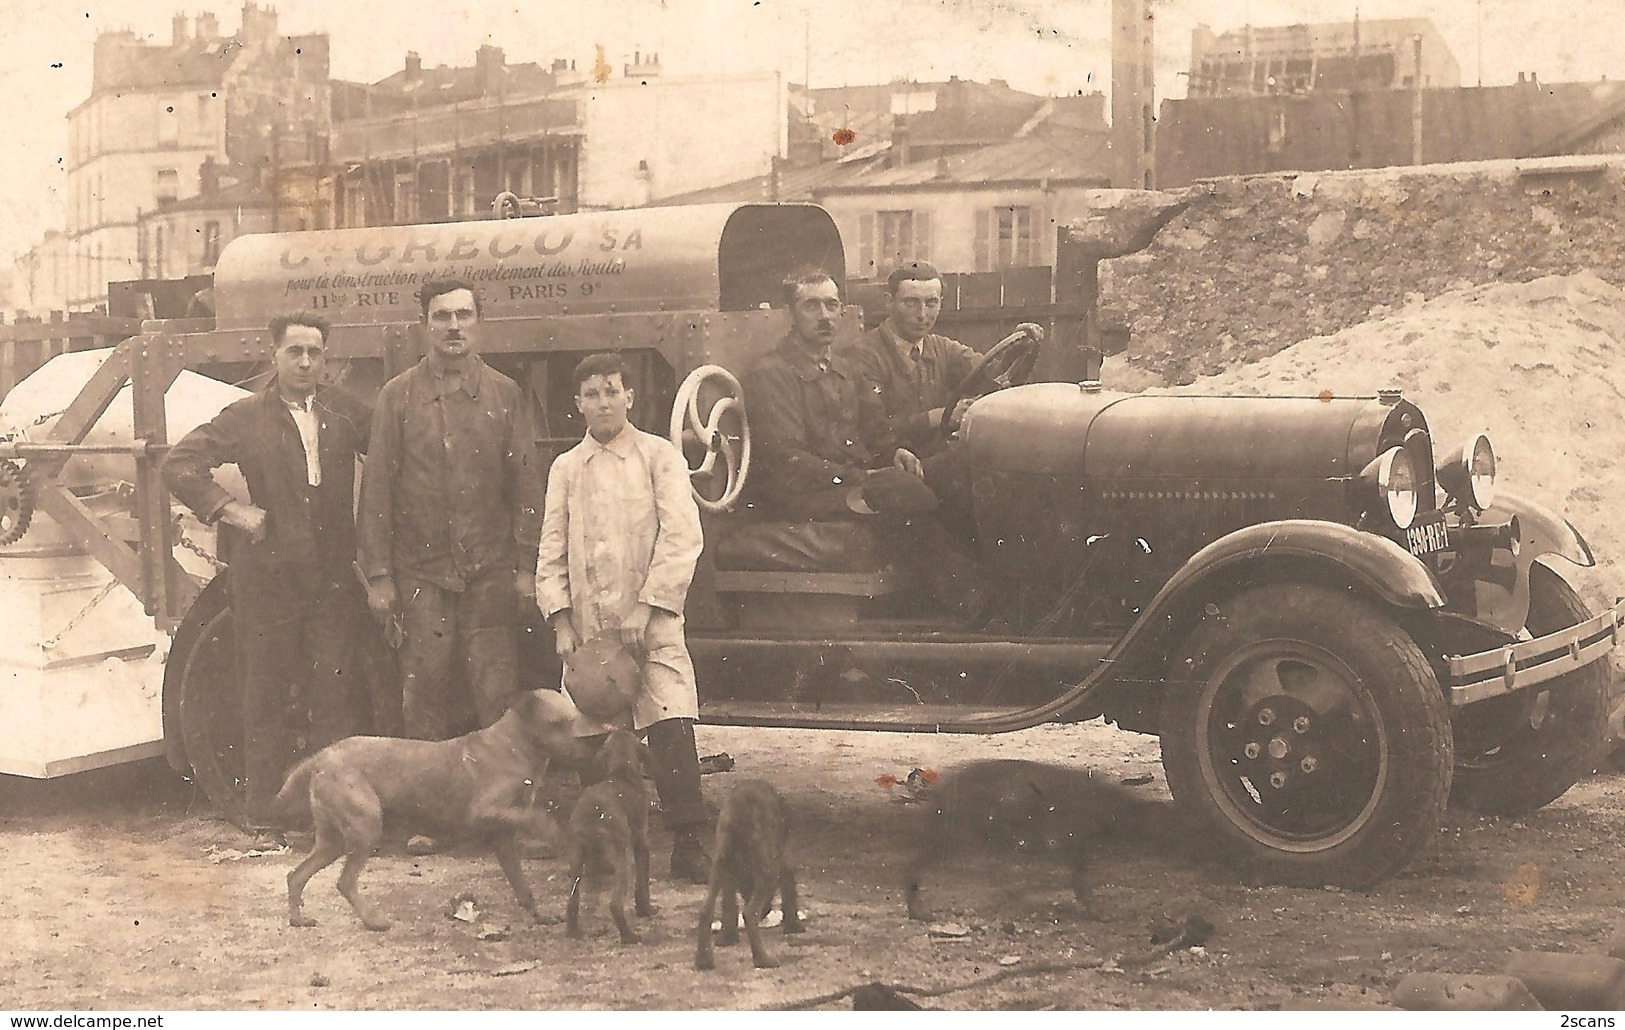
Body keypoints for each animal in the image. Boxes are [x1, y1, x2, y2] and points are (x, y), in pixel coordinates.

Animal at [279, 682, 598, 929]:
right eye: (559, 723)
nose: (594, 745)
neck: (515, 745)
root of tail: (323, 756)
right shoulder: (486, 812)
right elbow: (540, 818)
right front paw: (560, 838)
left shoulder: (502, 836)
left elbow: (522, 886)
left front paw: (540, 915)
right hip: (364, 829)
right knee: (344, 881)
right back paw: (373, 921)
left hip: (332, 841)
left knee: (296, 875)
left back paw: (298, 919)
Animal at [565, 721, 653, 935]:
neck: (622, 773)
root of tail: (592, 814)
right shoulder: (641, 841)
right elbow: (642, 884)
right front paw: (645, 909)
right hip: (622, 860)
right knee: (614, 904)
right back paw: (629, 936)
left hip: (576, 861)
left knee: (572, 901)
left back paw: (573, 932)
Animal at [695, 776, 802, 968]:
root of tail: (740, 804)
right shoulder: (785, 857)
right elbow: (789, 889)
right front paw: (794, 925)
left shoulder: (728, 872)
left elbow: (729, 904)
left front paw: (727, 937)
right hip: (768, 868)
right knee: (750, 913)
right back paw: (763, 959)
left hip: (719, 860)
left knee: (706, 909)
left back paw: (703, 960)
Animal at [903, 757, 1157, 916]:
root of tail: (942, 793)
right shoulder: (1069, 838)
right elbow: (1080, 877)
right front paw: (1093, 910)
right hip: (959, 834)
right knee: (918, 861)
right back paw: (917, 908)